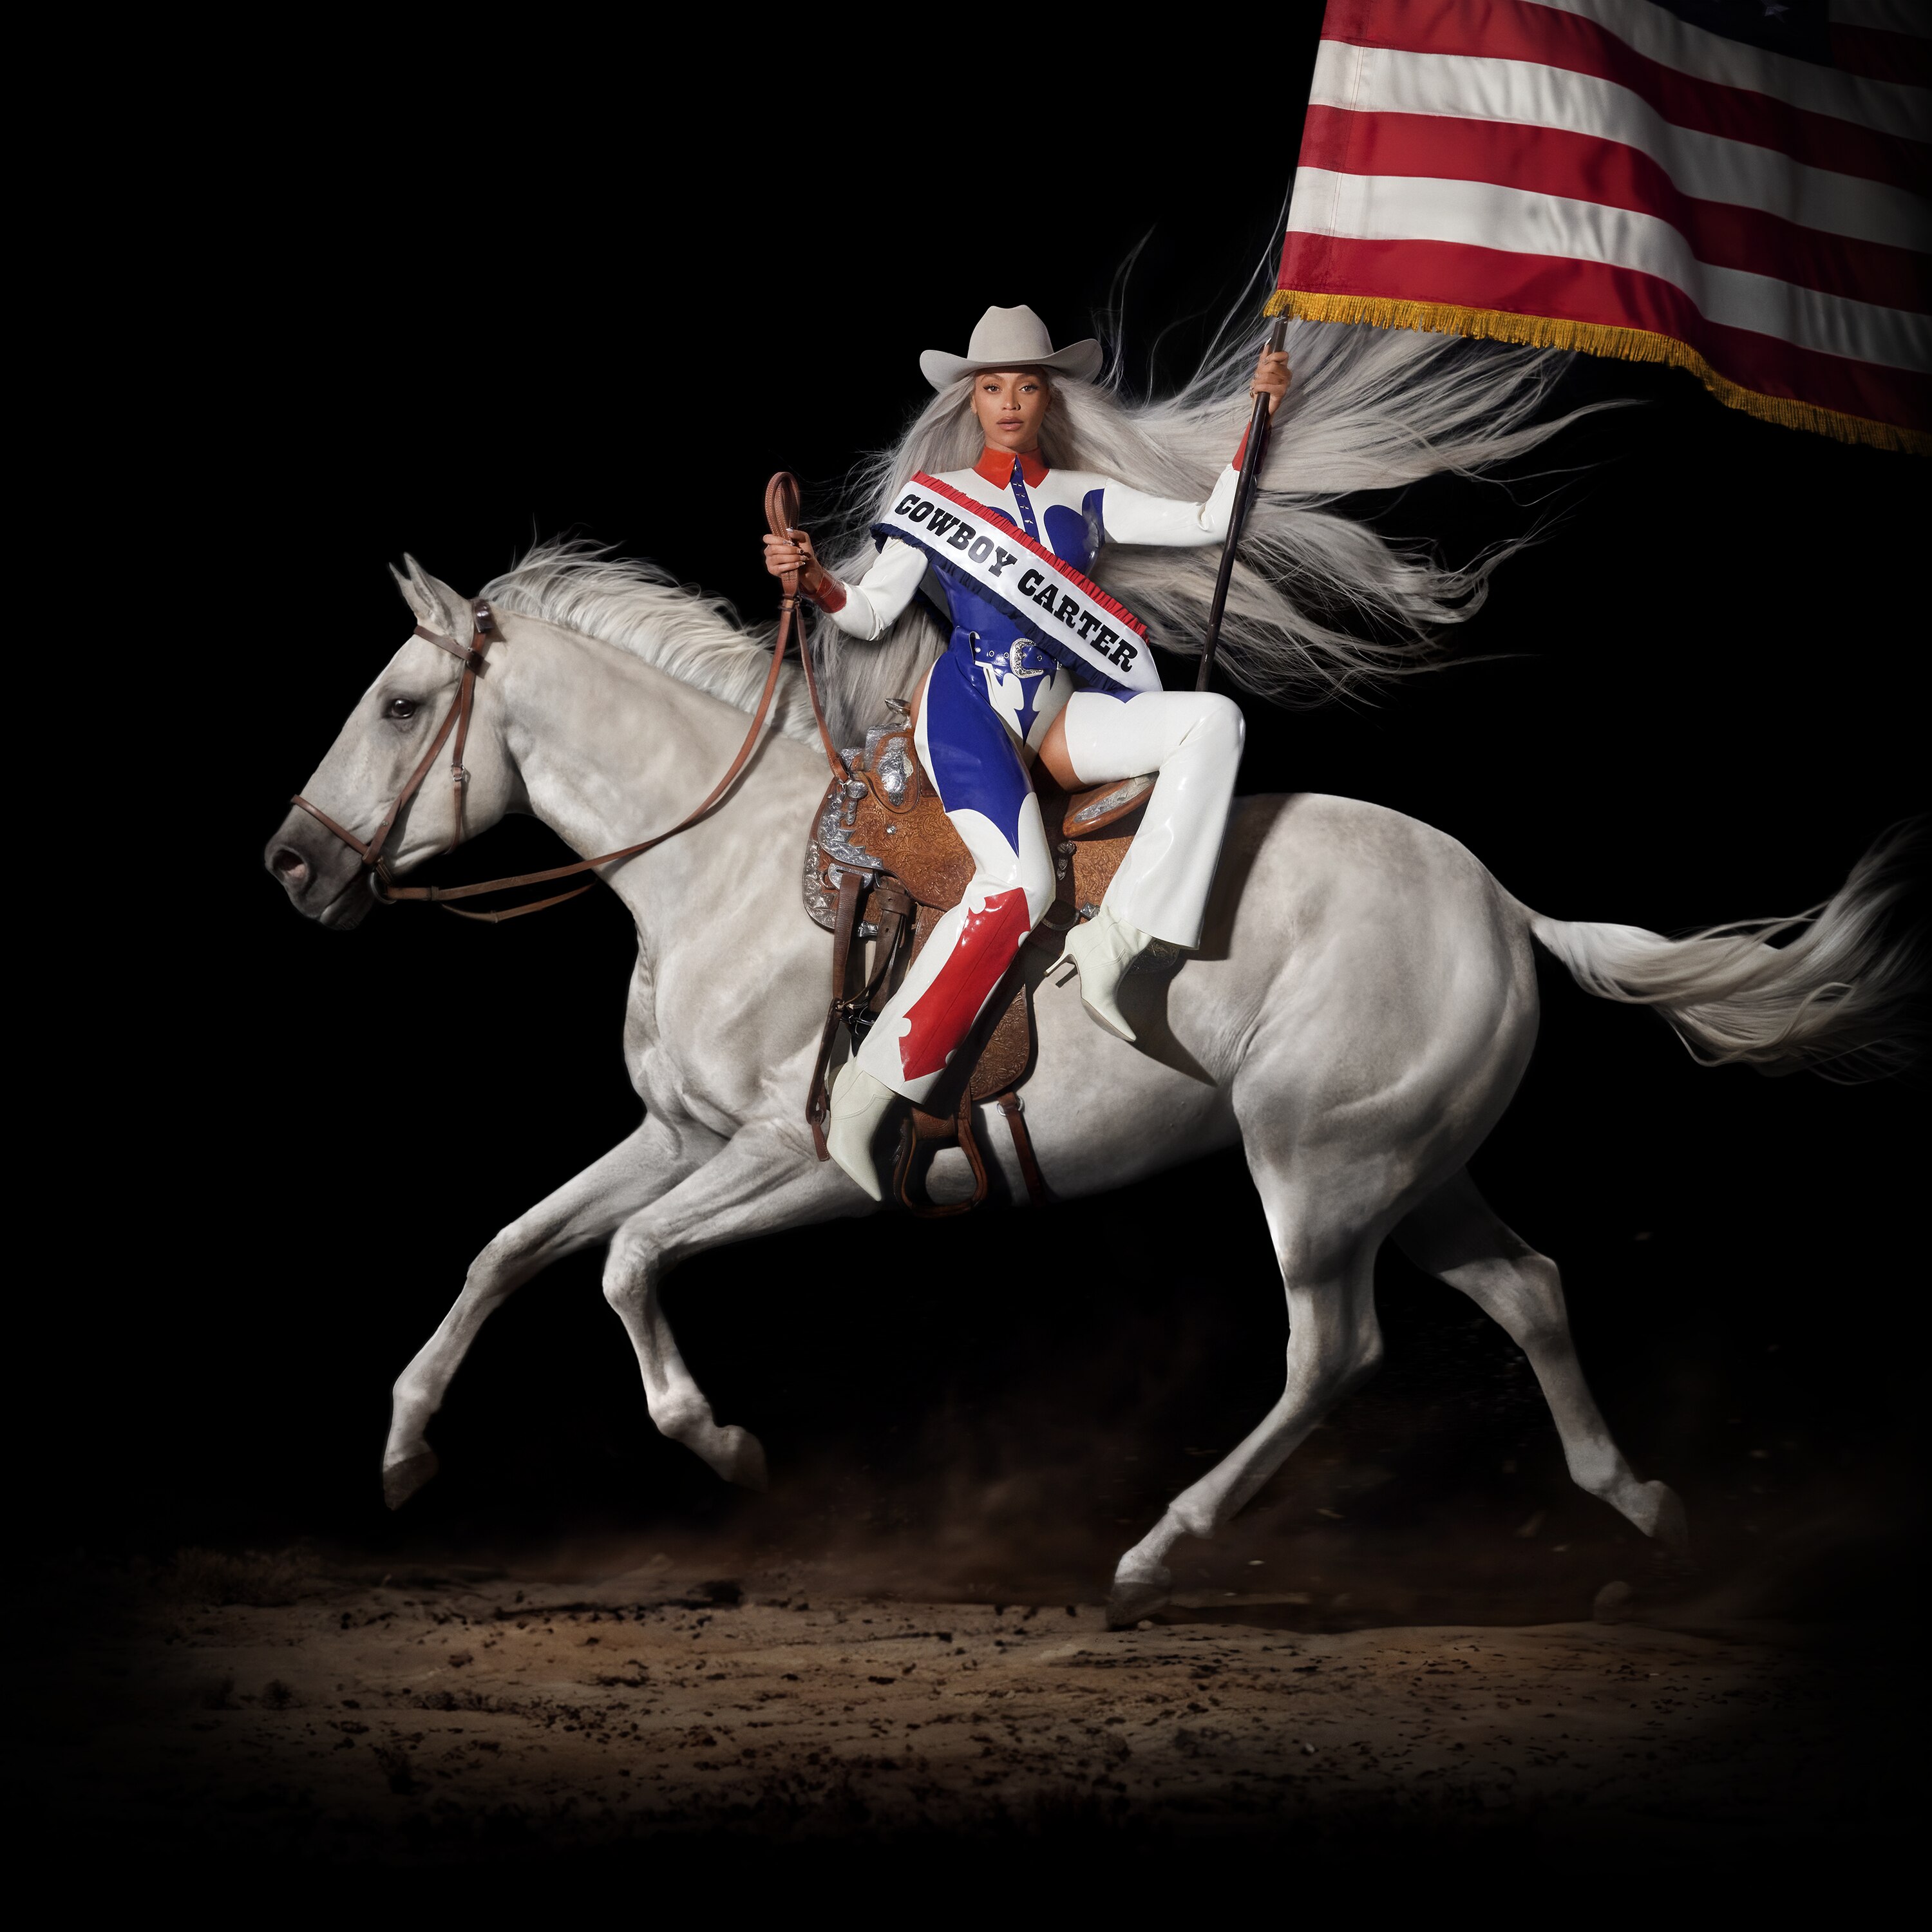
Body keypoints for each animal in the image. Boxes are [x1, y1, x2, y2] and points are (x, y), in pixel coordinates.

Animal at [269, 553, 1917, 1623]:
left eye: (403, 704)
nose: (290, 864)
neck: (730, 871)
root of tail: (1504, 905)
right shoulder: (673, 1134)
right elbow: (514, 1247)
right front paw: (404, 1450)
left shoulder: (800, 1161)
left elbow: (621, 1262)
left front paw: (720, 1441)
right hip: (1411, 1169)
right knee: (1526, 1290)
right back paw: (1639, 1503)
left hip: (1316, 1171)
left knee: (1335, 1350)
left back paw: (1155, 1553)